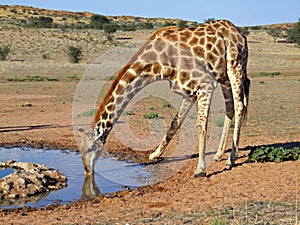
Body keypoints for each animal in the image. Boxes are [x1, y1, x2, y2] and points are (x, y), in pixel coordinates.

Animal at [78, 18, 250, 178]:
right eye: (80, 149)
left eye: (90, 148)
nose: (87, 170)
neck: (157, 64)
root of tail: (240, 34)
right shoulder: (188, 91)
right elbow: (175, 122)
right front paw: (155, 154)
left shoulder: (205, 85)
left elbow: (201, 125)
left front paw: (200, 169)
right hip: (223, 76)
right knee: (232, 105)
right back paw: (219, 154)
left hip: (235, 65)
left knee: (239, 106)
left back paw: (231, 159)